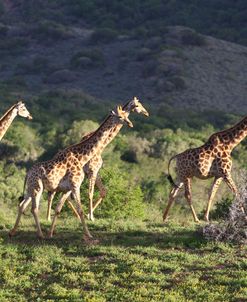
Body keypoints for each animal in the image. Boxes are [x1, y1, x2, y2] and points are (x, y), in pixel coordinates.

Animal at [9, 105, 135, 242]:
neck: (81, 158)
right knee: (34, 208)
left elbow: (58, 209)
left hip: (30, 189)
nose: (130, 123)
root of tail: (27, 174)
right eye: (120, 116)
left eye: (127, 115)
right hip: (38, 187)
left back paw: (13, 232)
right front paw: (89, 235)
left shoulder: (67, 189)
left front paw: (51, 233)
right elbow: (80, 210)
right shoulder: (75, 185)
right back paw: (40, 234)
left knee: (22, 205)